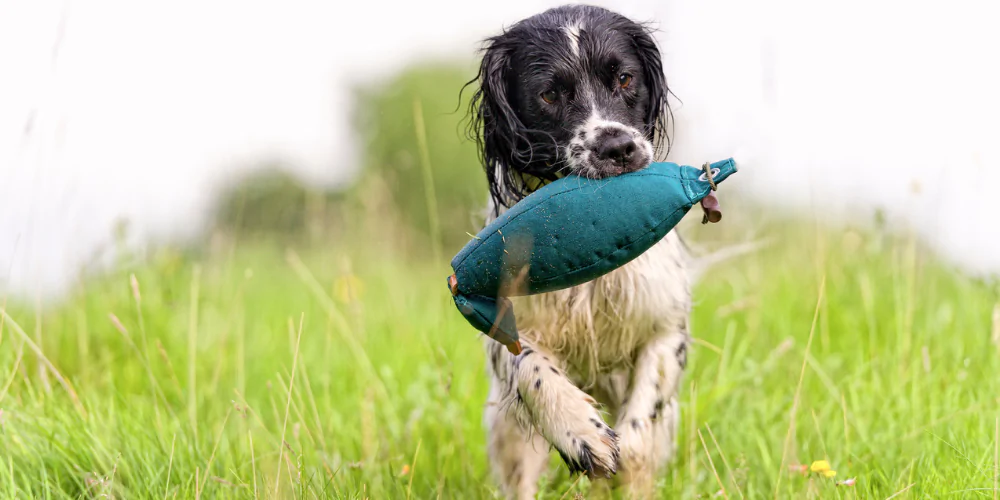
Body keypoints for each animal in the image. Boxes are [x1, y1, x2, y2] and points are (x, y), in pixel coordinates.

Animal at [464, 4, 692, 500]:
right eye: (549, 94)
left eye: (624, 78)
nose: (618, 147)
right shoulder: (510, 323)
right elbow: (531, 367)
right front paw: (582, 432)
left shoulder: (665, 329)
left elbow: (640, 432)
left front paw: (623, 452)